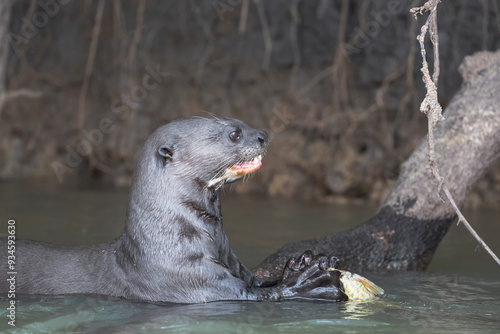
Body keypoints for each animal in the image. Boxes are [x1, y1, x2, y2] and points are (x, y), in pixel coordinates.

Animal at [0, 117, 346, 302]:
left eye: (244, 123)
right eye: (234, 132)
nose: (263, 135)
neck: (168, 241)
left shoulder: (234, 267)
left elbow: (260, 281)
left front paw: (307, 261)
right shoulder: (196, 280)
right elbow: (258, 294)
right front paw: (309, 282)